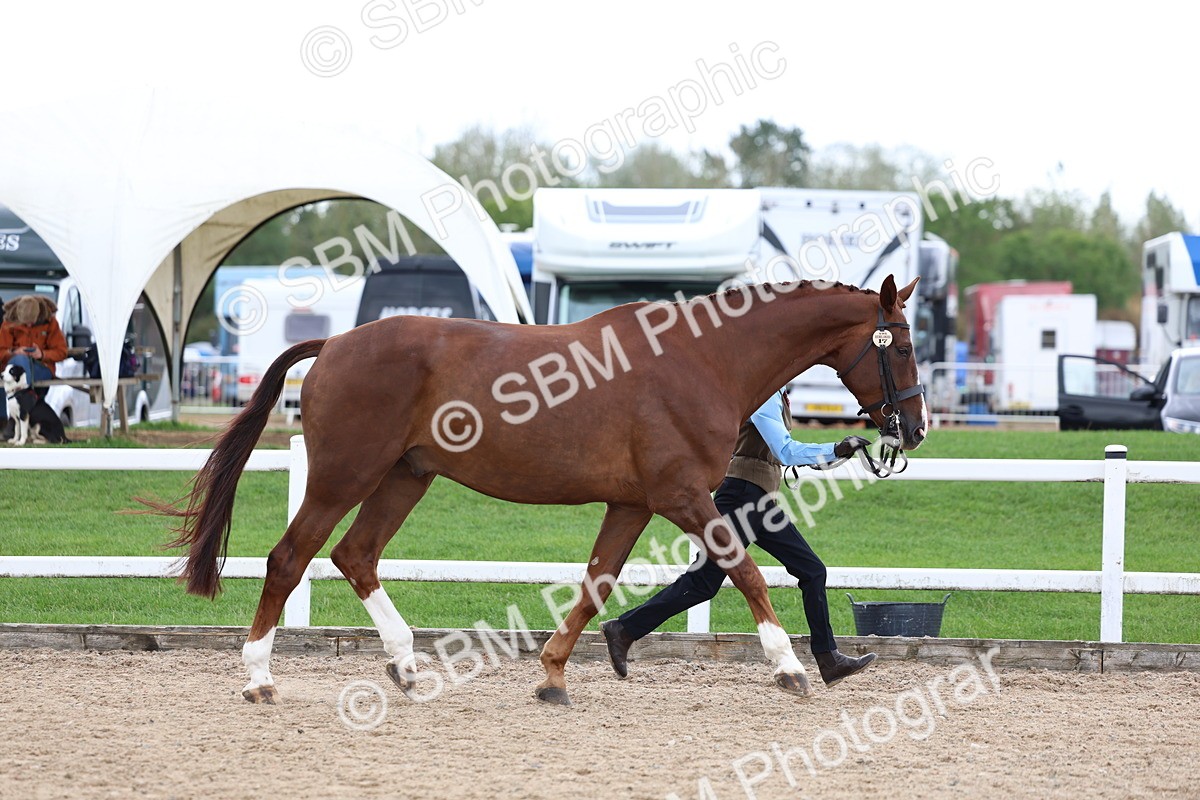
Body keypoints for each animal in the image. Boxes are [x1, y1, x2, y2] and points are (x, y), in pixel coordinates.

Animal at [148, 273, 926, 706]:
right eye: (904, 343)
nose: (913, 428)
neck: (703, 359)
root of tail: (336, 344)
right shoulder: (681, 497)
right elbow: (750, 573)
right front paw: (790, 668)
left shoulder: (632, 503)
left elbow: (595, 585)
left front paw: (553, 676)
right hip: (347, 473)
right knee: (292, 558)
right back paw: (258, 677)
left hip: (405, 477)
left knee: (355, 556)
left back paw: (406, 665)